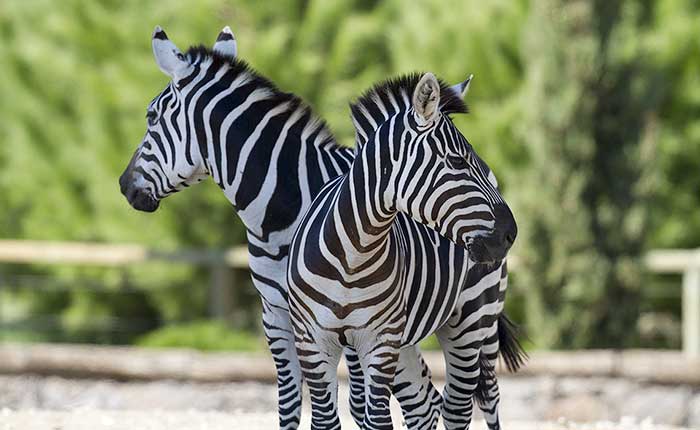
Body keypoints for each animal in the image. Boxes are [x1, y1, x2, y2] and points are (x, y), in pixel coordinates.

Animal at [119, 26, 464, 430]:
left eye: (151, 115)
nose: (123, 186)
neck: (278, 216)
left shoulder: (346, 322)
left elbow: (355, 408)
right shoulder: (277, 314)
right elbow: (288, 402)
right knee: (424, 401)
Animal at [288, 69, 524, 426]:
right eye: (456, 161)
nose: (510, 234)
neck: (351, 257)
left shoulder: (380, 342)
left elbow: (378, 419)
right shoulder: (311, 341)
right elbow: (326, 420)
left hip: (474, 319)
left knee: (463, 405)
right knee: (427, 403)